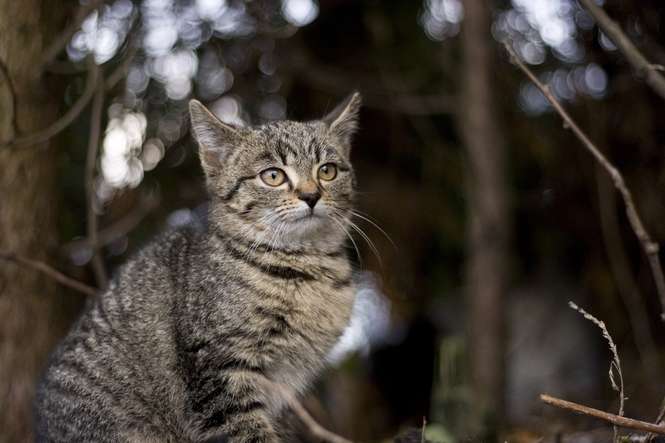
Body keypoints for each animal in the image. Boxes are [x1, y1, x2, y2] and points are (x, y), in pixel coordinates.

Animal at [33, 92, 360, 442]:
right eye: (273, 176)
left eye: (327, 171)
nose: (311, 195)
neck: (305, 268)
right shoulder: (217, 370)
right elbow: (248, 432)